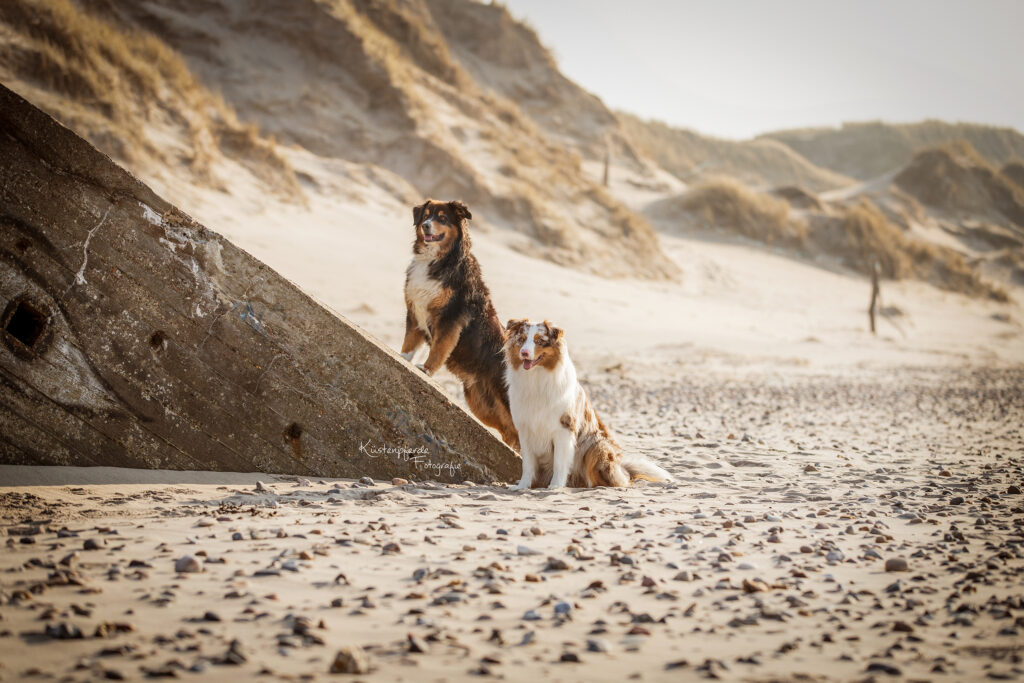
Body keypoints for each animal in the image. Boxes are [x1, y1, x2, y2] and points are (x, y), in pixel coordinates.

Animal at [395, 200, 516, 450]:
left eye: (442, 218)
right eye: (426, 215)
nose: (425, 225)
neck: (440, 260)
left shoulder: (451, 320)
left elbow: (438, 349)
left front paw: (425, 369)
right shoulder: (415, 313)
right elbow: (409, 344)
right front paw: (403, 358)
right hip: (482, 403)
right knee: (511, 433)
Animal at [503, 317, 671, 489]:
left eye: (539, 341)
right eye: (522, 340)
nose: (524, 353)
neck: (536, 378)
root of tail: (622, 469)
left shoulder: (564, 427)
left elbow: (559, 462)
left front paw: (556, 486)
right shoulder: (525, 429)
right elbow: (527, 464)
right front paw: (522, 486)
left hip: (597, 445)